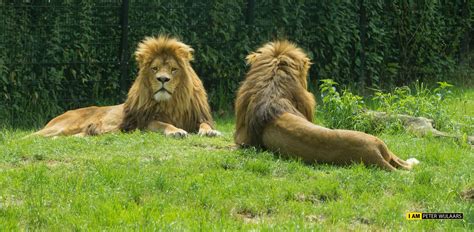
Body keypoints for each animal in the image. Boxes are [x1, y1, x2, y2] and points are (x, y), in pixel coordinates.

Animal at [32, 35, 221, 138]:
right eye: (154, 69)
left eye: (173, 70)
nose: (162, 79)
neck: (172, 103)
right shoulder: (141, 123)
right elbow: (162, 124)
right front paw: (176, 131)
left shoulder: (196, 117)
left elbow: (206, 125)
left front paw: (211, 132)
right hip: (61, 127)